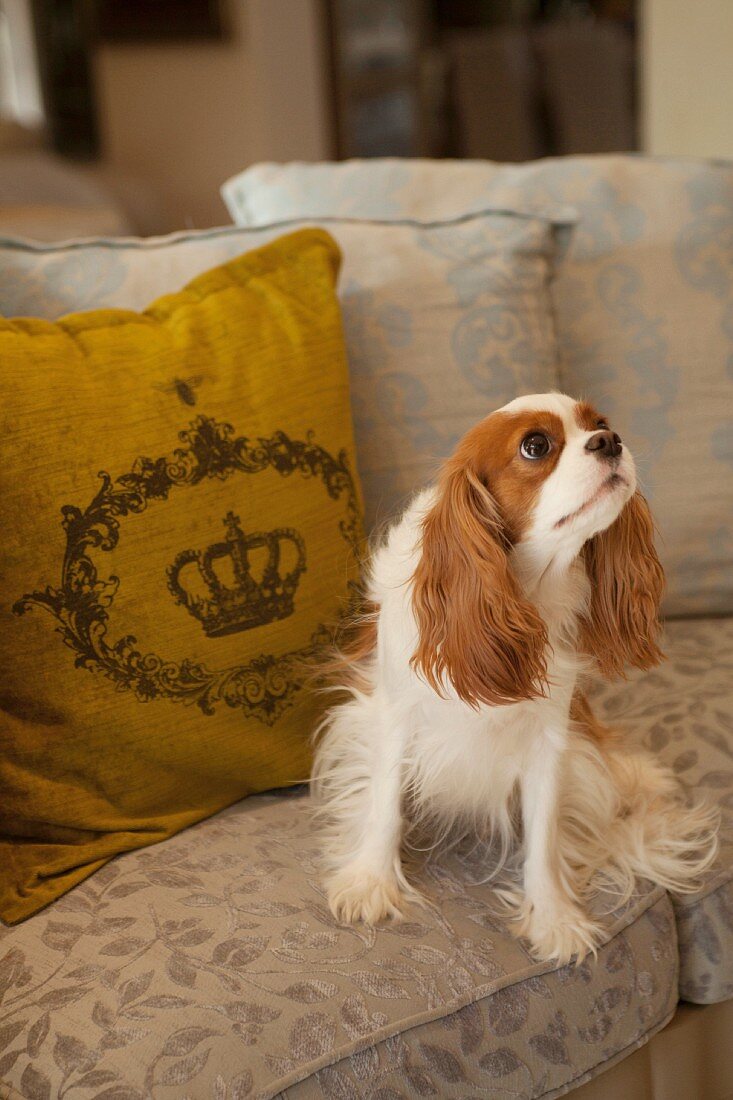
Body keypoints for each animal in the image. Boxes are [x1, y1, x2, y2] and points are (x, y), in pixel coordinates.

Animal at [310, 393, 717, 963]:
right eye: (536, 446)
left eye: (600, 423)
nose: (610, 441)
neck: (525, 591)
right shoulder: (392, 714)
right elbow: (385, 801)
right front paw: (370, 881)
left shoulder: (551, 739)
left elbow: (543, 836)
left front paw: (553, 918)